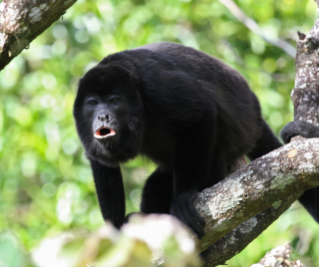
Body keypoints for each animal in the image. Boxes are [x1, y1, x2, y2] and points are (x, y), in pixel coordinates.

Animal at [73, 42, 282, 239]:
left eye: (115, 100)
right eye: (92, 103)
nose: (103, 116)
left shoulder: (156, 87)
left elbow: (200, 113)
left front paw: (183, 197)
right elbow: (101, 161)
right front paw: (115, 232)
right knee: (155, 185)